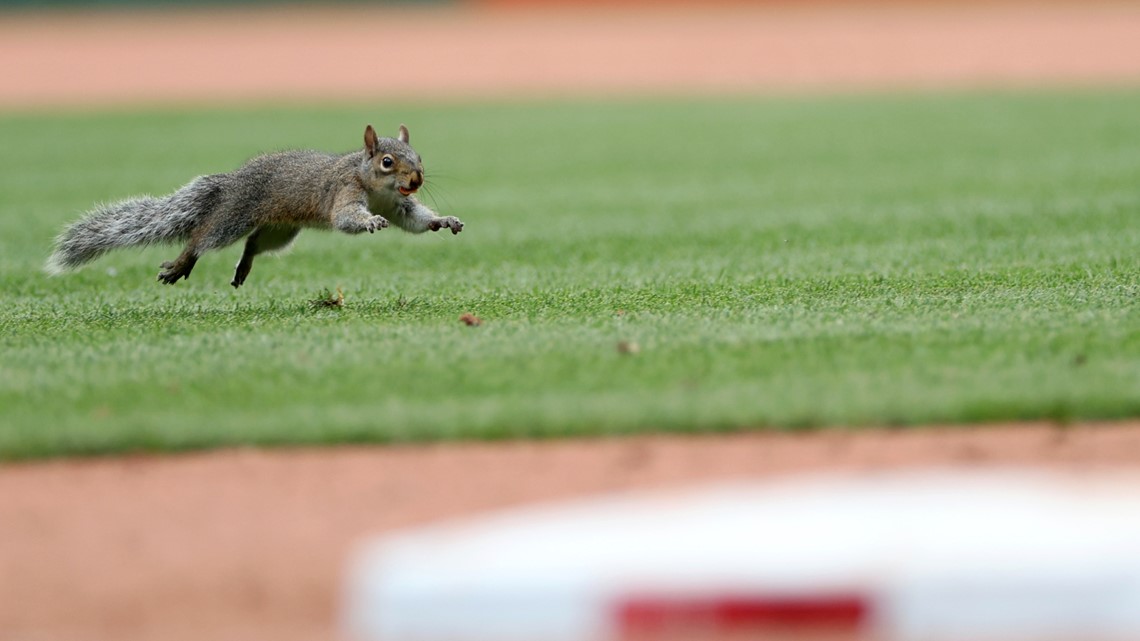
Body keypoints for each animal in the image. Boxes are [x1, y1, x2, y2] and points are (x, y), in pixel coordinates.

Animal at [44, 122, 462, 287]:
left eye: (418, 156)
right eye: (387, 162)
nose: (416, 180)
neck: (374, 187)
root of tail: (233, 182)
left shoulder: (396, 203)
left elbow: (414, 218)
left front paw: (443, 220)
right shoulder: (343, 192)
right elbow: (346, 218)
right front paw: (371, 222)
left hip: (281, 229)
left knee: (254, 243)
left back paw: (243, 267)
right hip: (233, 217)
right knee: (203, 237)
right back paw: (181, 263)